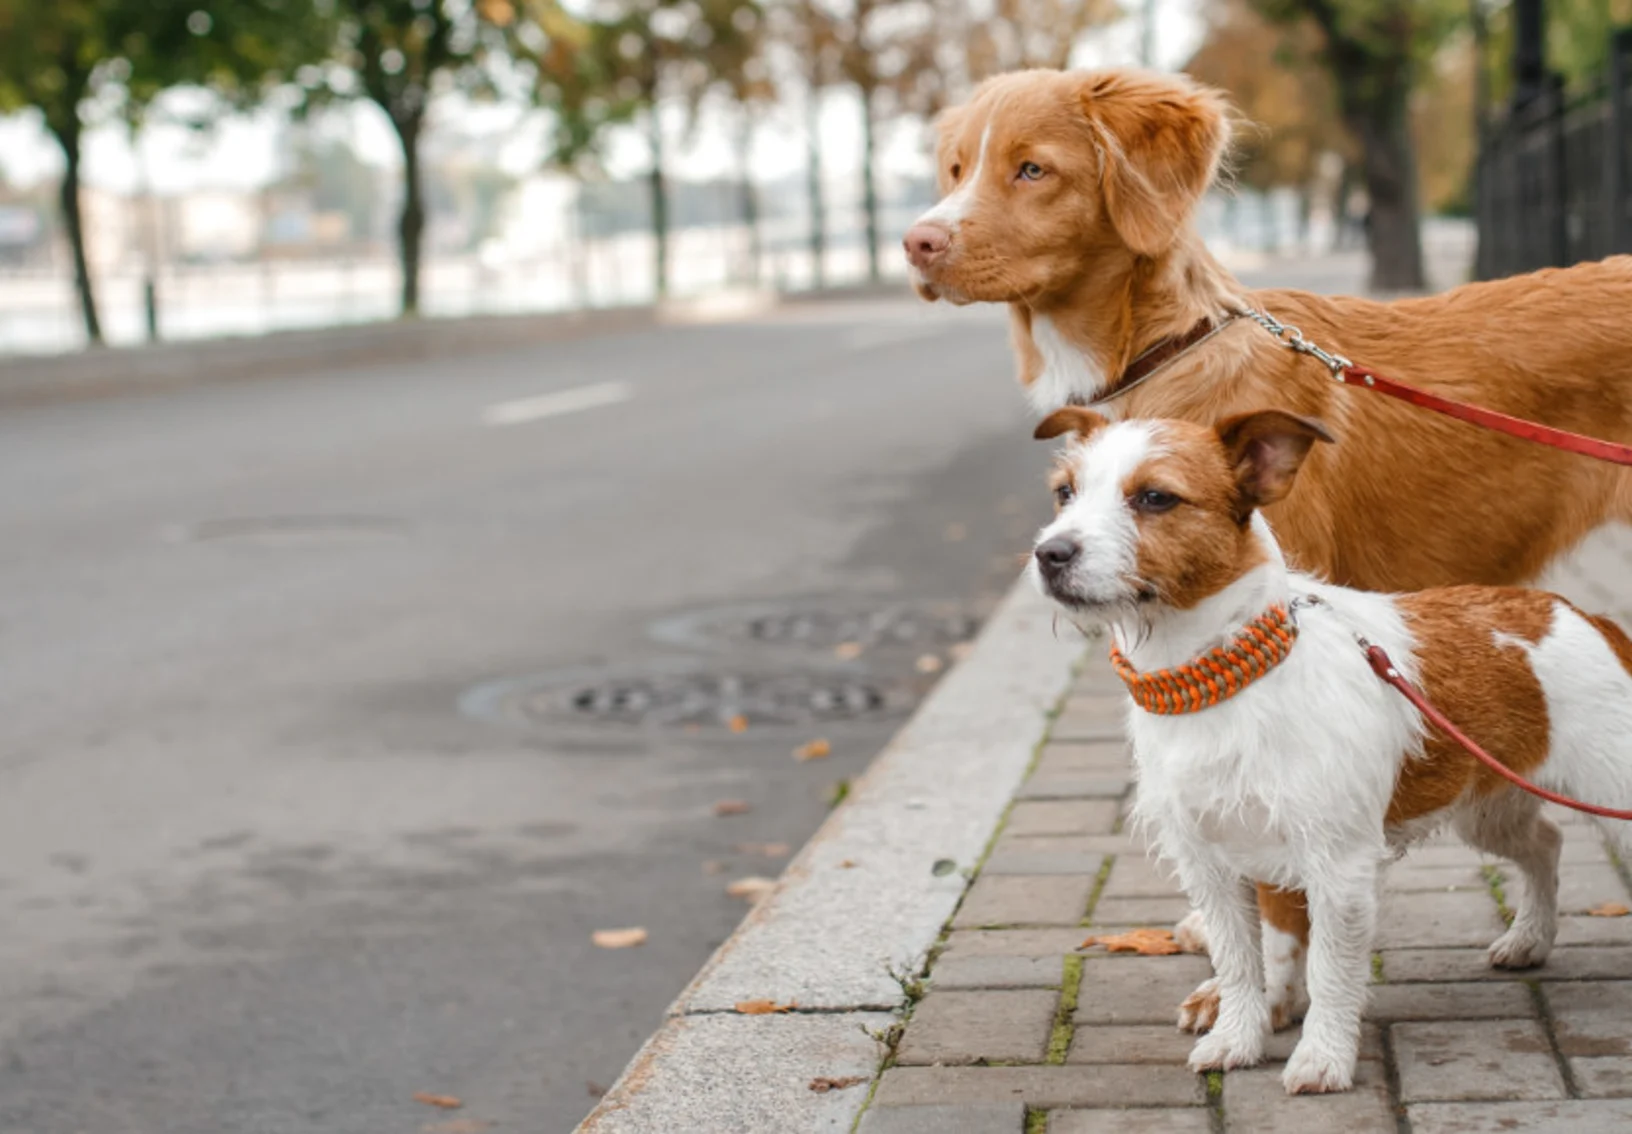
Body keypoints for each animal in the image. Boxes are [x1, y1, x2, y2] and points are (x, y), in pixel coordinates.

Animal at [1024, 406, 1632, 1089]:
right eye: (1065, 492)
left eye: (1155, 497)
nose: (1050, 553)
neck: (1219, 680)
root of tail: (1586, 616)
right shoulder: (1211, 866)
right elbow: (1241, 963)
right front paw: (1239, 1037)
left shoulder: (1337, 867)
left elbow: (1332, 971)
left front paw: (1322, 1056)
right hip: (1488, 805)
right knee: (1544, 845)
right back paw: (1530, 938)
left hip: (1609, 801)